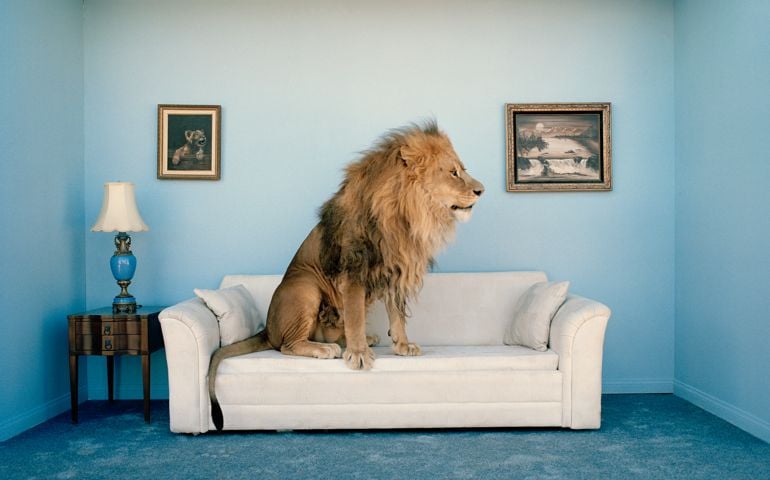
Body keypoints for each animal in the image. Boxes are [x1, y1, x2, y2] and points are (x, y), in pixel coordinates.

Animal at [207, 121, 484, 430]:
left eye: (462, 169)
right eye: (453, 172)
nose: (481, 190)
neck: (406, 214)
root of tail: (267, 328)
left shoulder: (394, 270)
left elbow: (397, 315)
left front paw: (401, 345)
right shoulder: (353, 270)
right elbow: (354, 315)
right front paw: (359, 354)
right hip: (305, 287)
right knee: (287, 346)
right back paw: (325, 349)